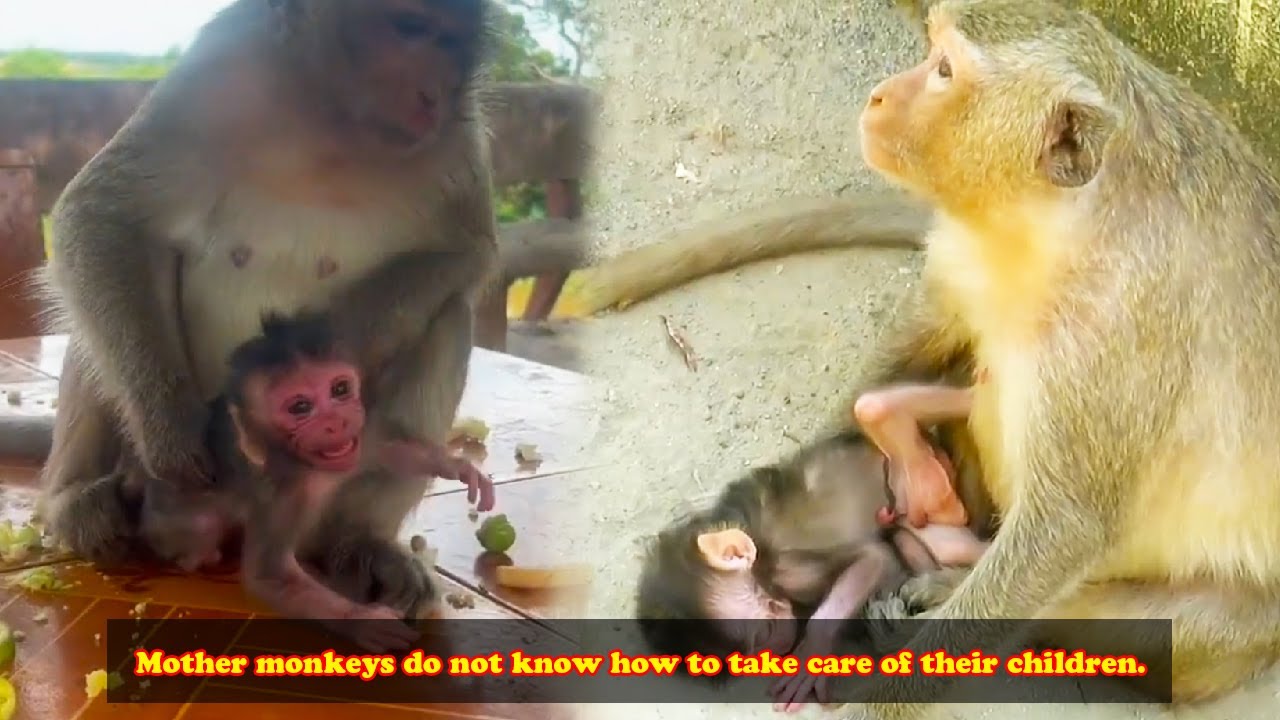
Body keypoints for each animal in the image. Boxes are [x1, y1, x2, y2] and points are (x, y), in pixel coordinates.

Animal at [35, 0, 503, 619]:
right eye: (411, 27)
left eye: (455, 44)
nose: (436, 92)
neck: (331, 123)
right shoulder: (222, 64)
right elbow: (102, 216)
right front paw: (172, 435)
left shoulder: (456, 137)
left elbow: (461, 253)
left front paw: (315, 361)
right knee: (106, 318)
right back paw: (79, 502)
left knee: (449, 316)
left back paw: (363, 544)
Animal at [800, 1, 1280, 717]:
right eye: (932, 52)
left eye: (945, 71)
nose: (880, 95)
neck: (1061, 222)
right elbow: (936, 319)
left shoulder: (1120, 334)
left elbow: (1066, 529)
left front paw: (883, 698)